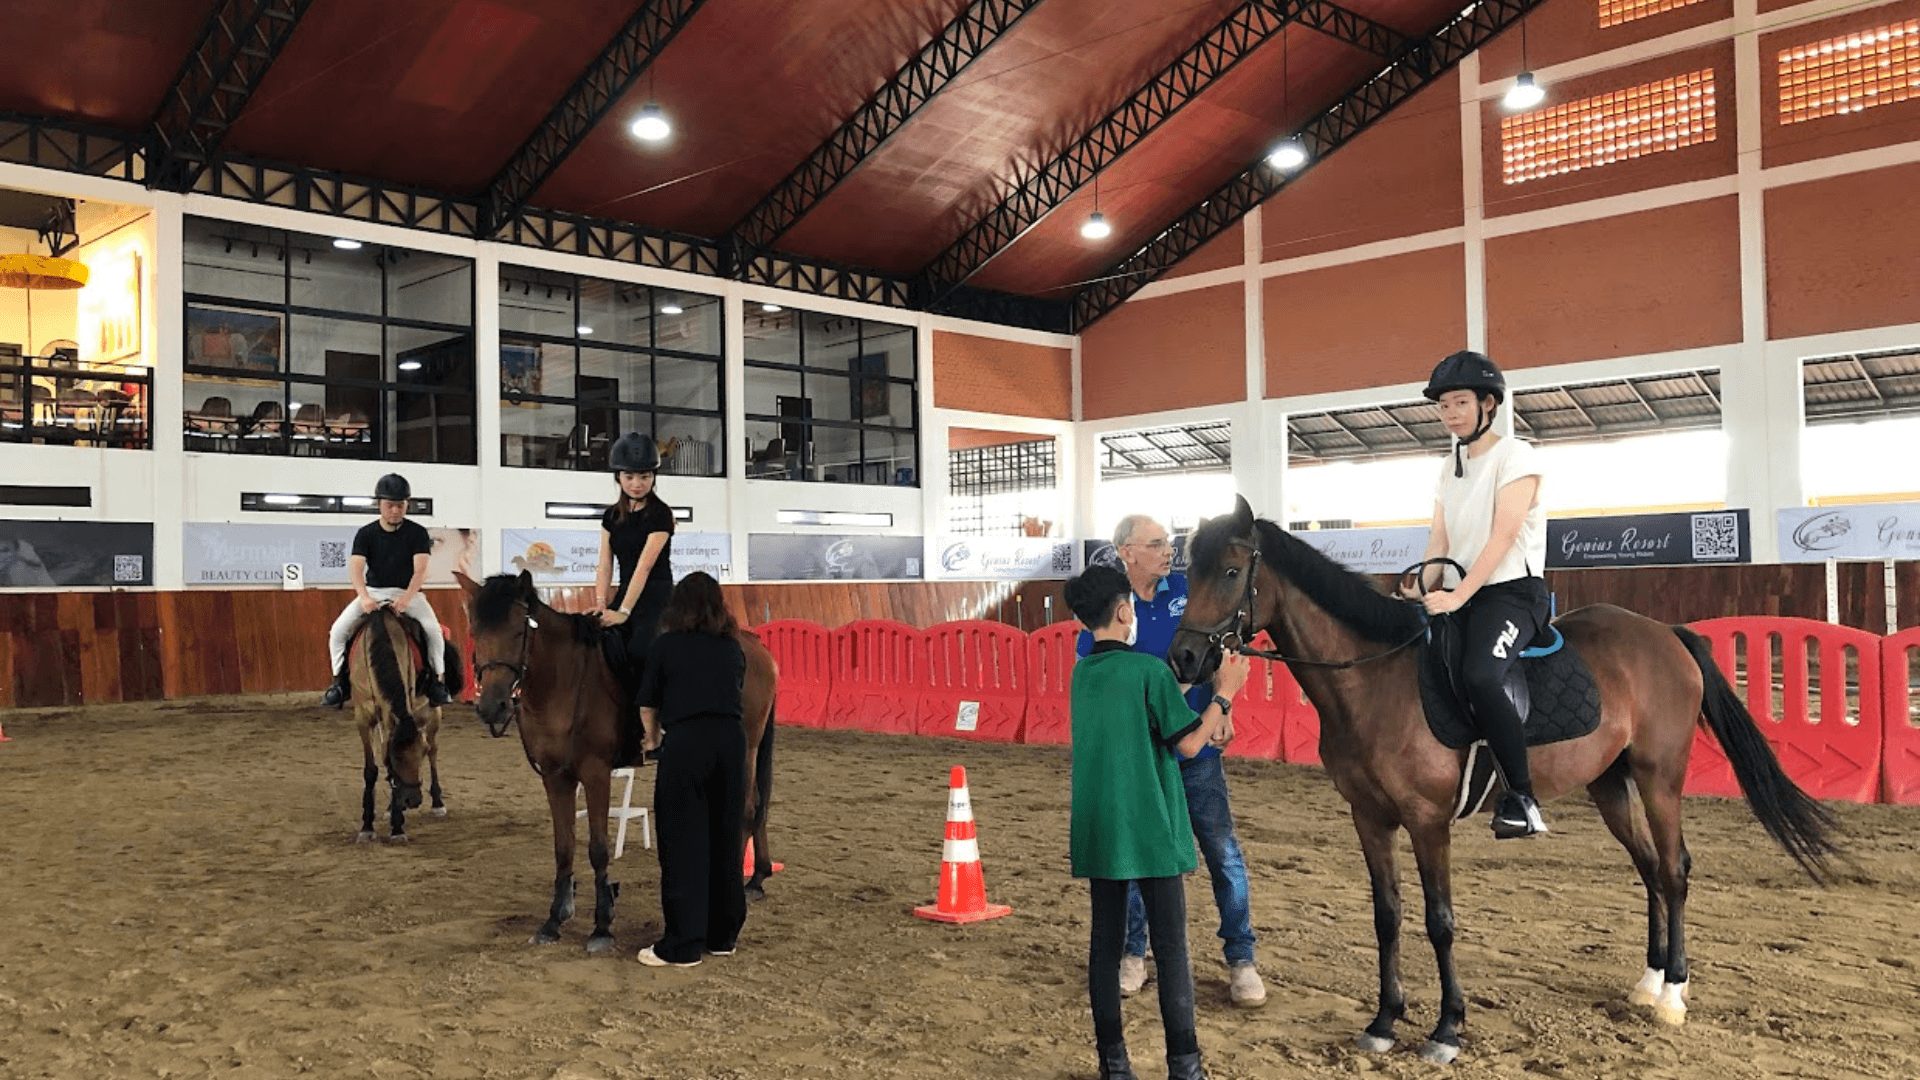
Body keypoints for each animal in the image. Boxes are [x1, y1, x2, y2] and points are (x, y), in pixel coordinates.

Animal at [343, 607, 451, 841]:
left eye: (420, 754)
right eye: (396, 758)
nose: (413, 800)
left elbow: (427, 753)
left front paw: (397, 826)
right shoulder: (363, 717)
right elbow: (372, 769)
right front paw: (367, 826)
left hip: (432, 712)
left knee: (435, 750)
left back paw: (437, 803)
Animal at [456, 568, 779, 953]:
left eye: (519, 632)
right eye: (475, 633)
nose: (493, 707)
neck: (564, 682)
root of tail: (755, 645)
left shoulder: (596, 773)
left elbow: (597, 848)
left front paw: (602, 926)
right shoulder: (555, 777)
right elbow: (563, 847)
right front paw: (554, 920)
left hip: (747, 750)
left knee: (747, 808)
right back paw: (757, 878)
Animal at [1159, 495, 1835, 1060]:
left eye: (1229, 571)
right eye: (1189, 572)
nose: (1184, 658)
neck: (1375, 679)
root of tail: (1664, 633)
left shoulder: (1427, 821)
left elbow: (1440, 921)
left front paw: (1446, 1029)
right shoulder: (1369, 817)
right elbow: (1386, 916)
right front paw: (1384, 1021)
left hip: (1659, 777)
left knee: (1672, 870)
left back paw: (1673, 993)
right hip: (1610, 784)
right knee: (1647, 867)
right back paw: (1647, 983)